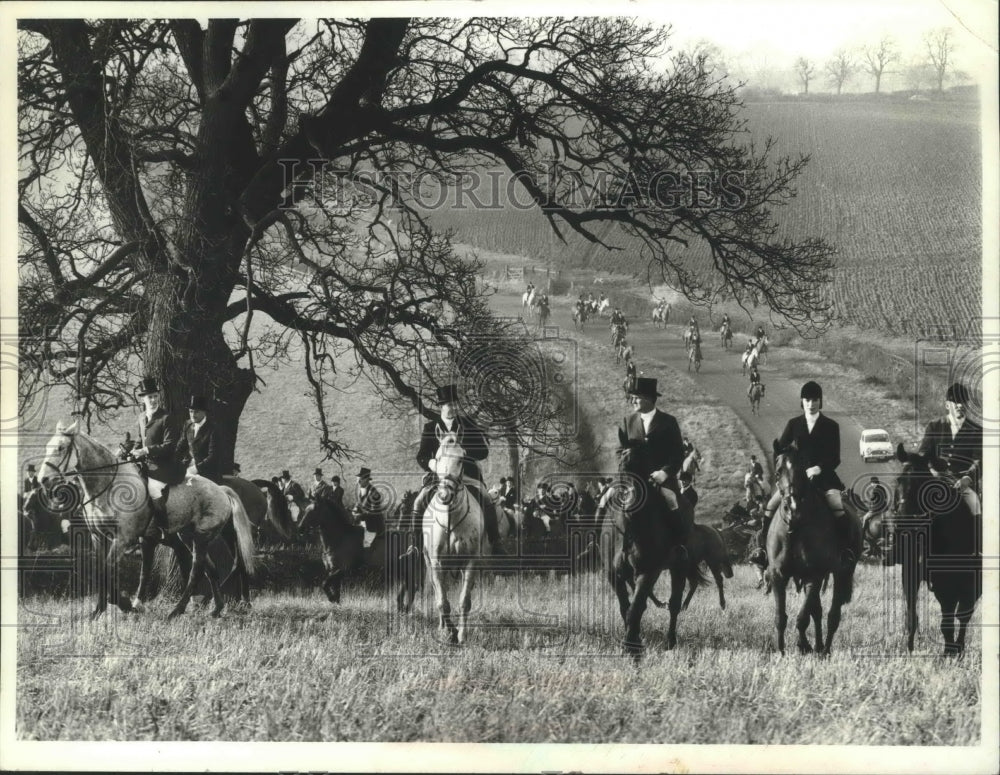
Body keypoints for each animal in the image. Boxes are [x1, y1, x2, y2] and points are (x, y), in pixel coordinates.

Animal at [40, 422, 256, 620]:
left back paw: (177, 611)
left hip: (201, 537)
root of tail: (221, 490)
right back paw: (216, 609)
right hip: (187, 536)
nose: (42, 480)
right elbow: (102, 571)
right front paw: (98, 611)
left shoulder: (123, 539)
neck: (108, 487)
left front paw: (124, 604)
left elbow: (108, 569)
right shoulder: (98, 537)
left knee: (196, 572)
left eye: (60, 448)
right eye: (47, 446)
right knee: (209, 570)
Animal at [422, 430, 484, 644]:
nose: (444, 494)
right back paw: (443, 626)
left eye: (461, 458)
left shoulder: (471, 561)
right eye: (438, 457)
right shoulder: (436, 562)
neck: (451, 518)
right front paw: (448, 632)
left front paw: (461, 634)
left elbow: (464, 601)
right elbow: (442, 601)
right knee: (437, 591)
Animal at [600, 448, 696, 660]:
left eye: (643, 469)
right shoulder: (614, 574)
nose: (631, 504)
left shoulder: (648, 572)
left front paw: (631, 647)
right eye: (621, 469)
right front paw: (634, 639)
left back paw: (670, 642)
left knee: (674, 605)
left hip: (679, 567)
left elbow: (635, 609)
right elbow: (626, 607)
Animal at [764, 442, 860, 656]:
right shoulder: (777, 575)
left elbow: (802, 618)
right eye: (778, 472)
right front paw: (781, 652)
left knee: (833, 615)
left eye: (803, 470)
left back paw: (825, 650)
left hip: (842, 572)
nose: (792, 508)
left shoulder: (813, 575)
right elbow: (781, 617)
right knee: (817, 611)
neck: (796, 527)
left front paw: (803, 645)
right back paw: (818, 646)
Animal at [888, 446, 980, 656]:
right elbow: (911, 617)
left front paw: (950, 652)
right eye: (899, 480)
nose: (902, 524)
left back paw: (958, 648)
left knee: (964, 615)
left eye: (922, 482)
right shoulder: (911, 576)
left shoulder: (949, 583)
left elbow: (950, 620)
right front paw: (909, 650)